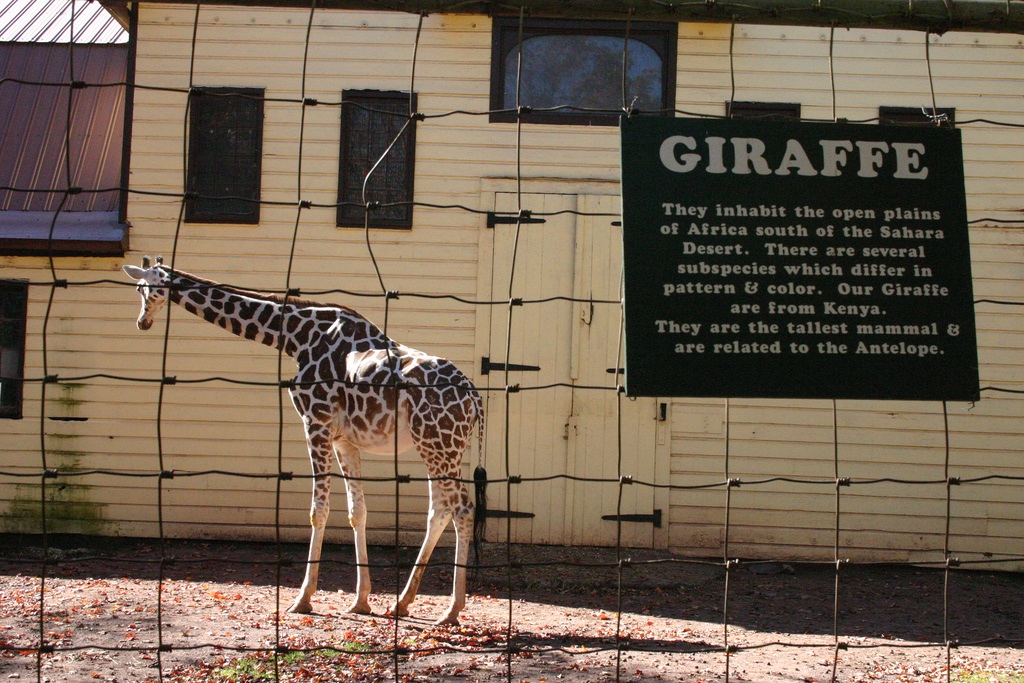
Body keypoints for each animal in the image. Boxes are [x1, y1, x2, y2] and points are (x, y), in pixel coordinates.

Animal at [123, 258, 485, 625]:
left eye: (145, 288)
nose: (142, 322)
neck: (295, 336)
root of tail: (475, 398)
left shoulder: (315, 423)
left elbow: (318, 511)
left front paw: (303, 599)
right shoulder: (343, 440)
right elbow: (358, 512)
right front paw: (360, 601)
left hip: (439, 445)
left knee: (462, 509)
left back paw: (451, 610)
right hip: (439, 447)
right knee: (439, 511)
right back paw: (402, 602)